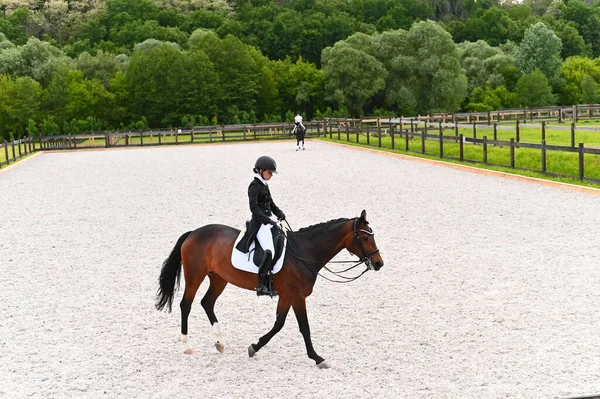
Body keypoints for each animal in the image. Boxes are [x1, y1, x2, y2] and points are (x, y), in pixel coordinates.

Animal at [156, 209, 384, 368]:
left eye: (372, 235)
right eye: (365, 237)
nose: (379, 263)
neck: (304, 252)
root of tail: (193, 233)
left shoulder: (287, 295)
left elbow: (278, 324)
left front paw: (254, 347)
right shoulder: (297, 296)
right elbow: (304, 327)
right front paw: (318, 358)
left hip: (219, 278)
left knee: (207, 303)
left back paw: (219, 342)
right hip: (195, 275)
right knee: (186, 304)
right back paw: (187, 346)